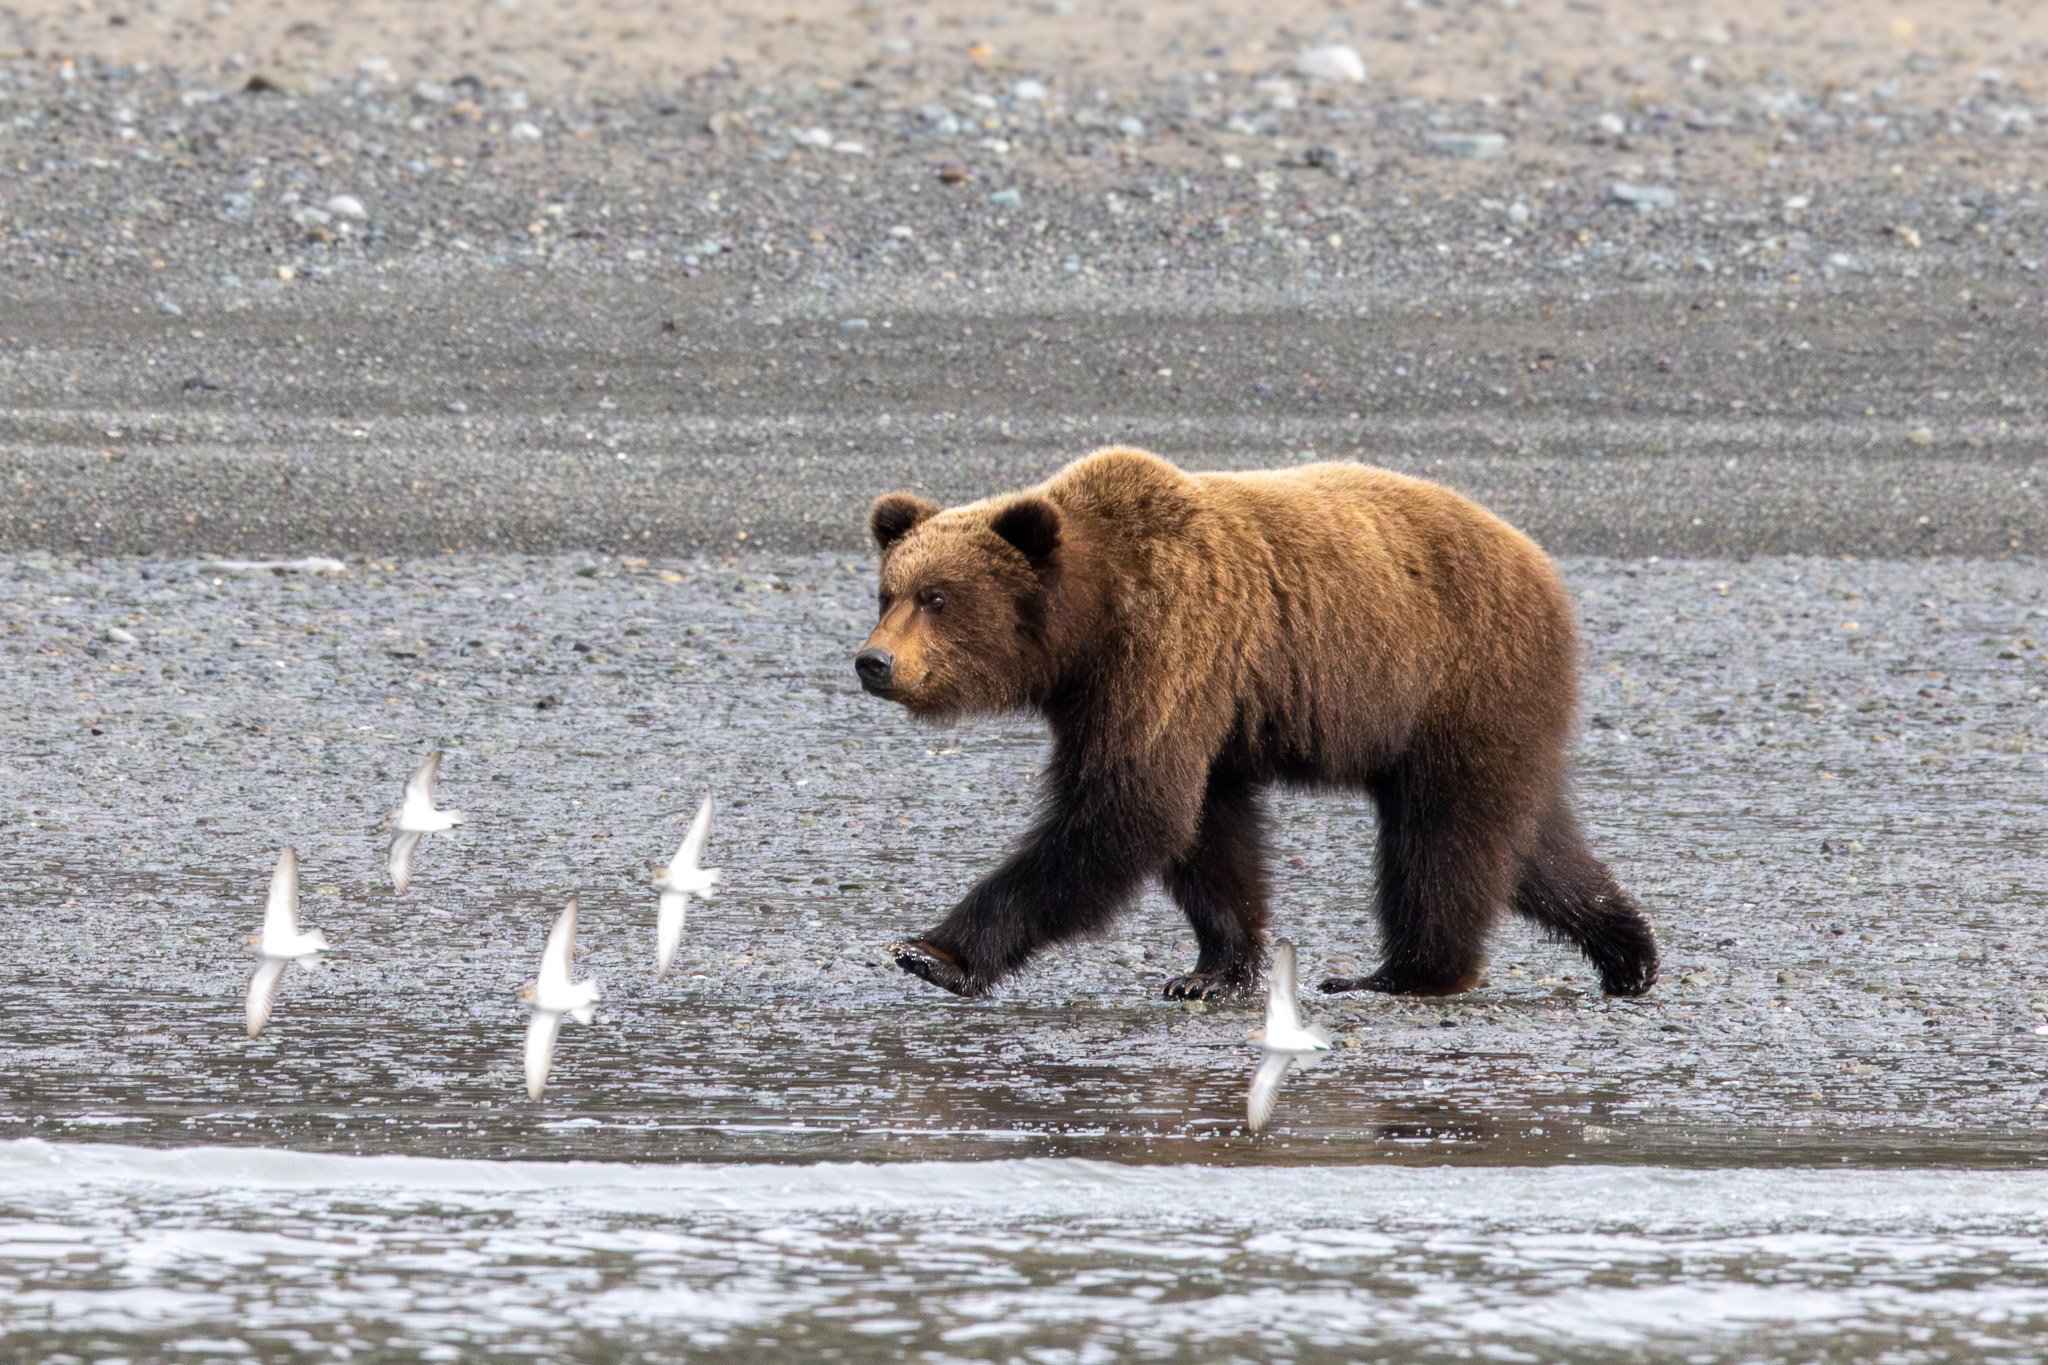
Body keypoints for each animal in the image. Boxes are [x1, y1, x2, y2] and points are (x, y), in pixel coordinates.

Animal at [854, 446, 1657, 1002]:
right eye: (887, 592)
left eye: (937, 597)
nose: (873, 661)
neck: (1091, 620)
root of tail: (1538, 558)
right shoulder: (1169, 699)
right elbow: (1205, 831)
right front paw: (1212, 970)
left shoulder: (1170, 648)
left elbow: (1127, 812)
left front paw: (932, 952)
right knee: (1526, 840)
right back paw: (1628, 951)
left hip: (1459, 675)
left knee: (1446, 835)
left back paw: (1401, 972)